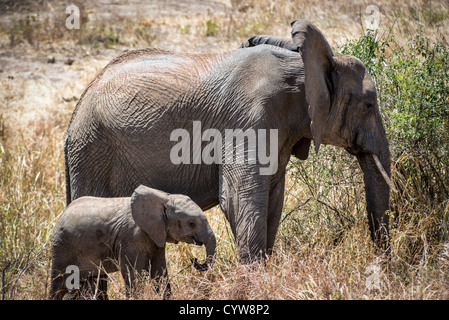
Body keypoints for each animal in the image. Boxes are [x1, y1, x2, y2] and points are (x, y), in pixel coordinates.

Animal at [49, 185, 215, 300]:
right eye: (192, 223)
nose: (194, 259)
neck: (164, 198)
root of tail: (62, 213)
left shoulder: (156, 236)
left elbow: (159, 272)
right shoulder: (132, 237)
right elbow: (133, 273)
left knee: (90, 284)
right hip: (62, 246)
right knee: (58, 285)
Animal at [63, 20, 392, 262]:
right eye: (369, 105)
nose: (380, 260)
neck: (301, 66)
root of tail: (76, 110)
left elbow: (273, 196)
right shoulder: (248, 119)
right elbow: (239, 197)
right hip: (93, 151)